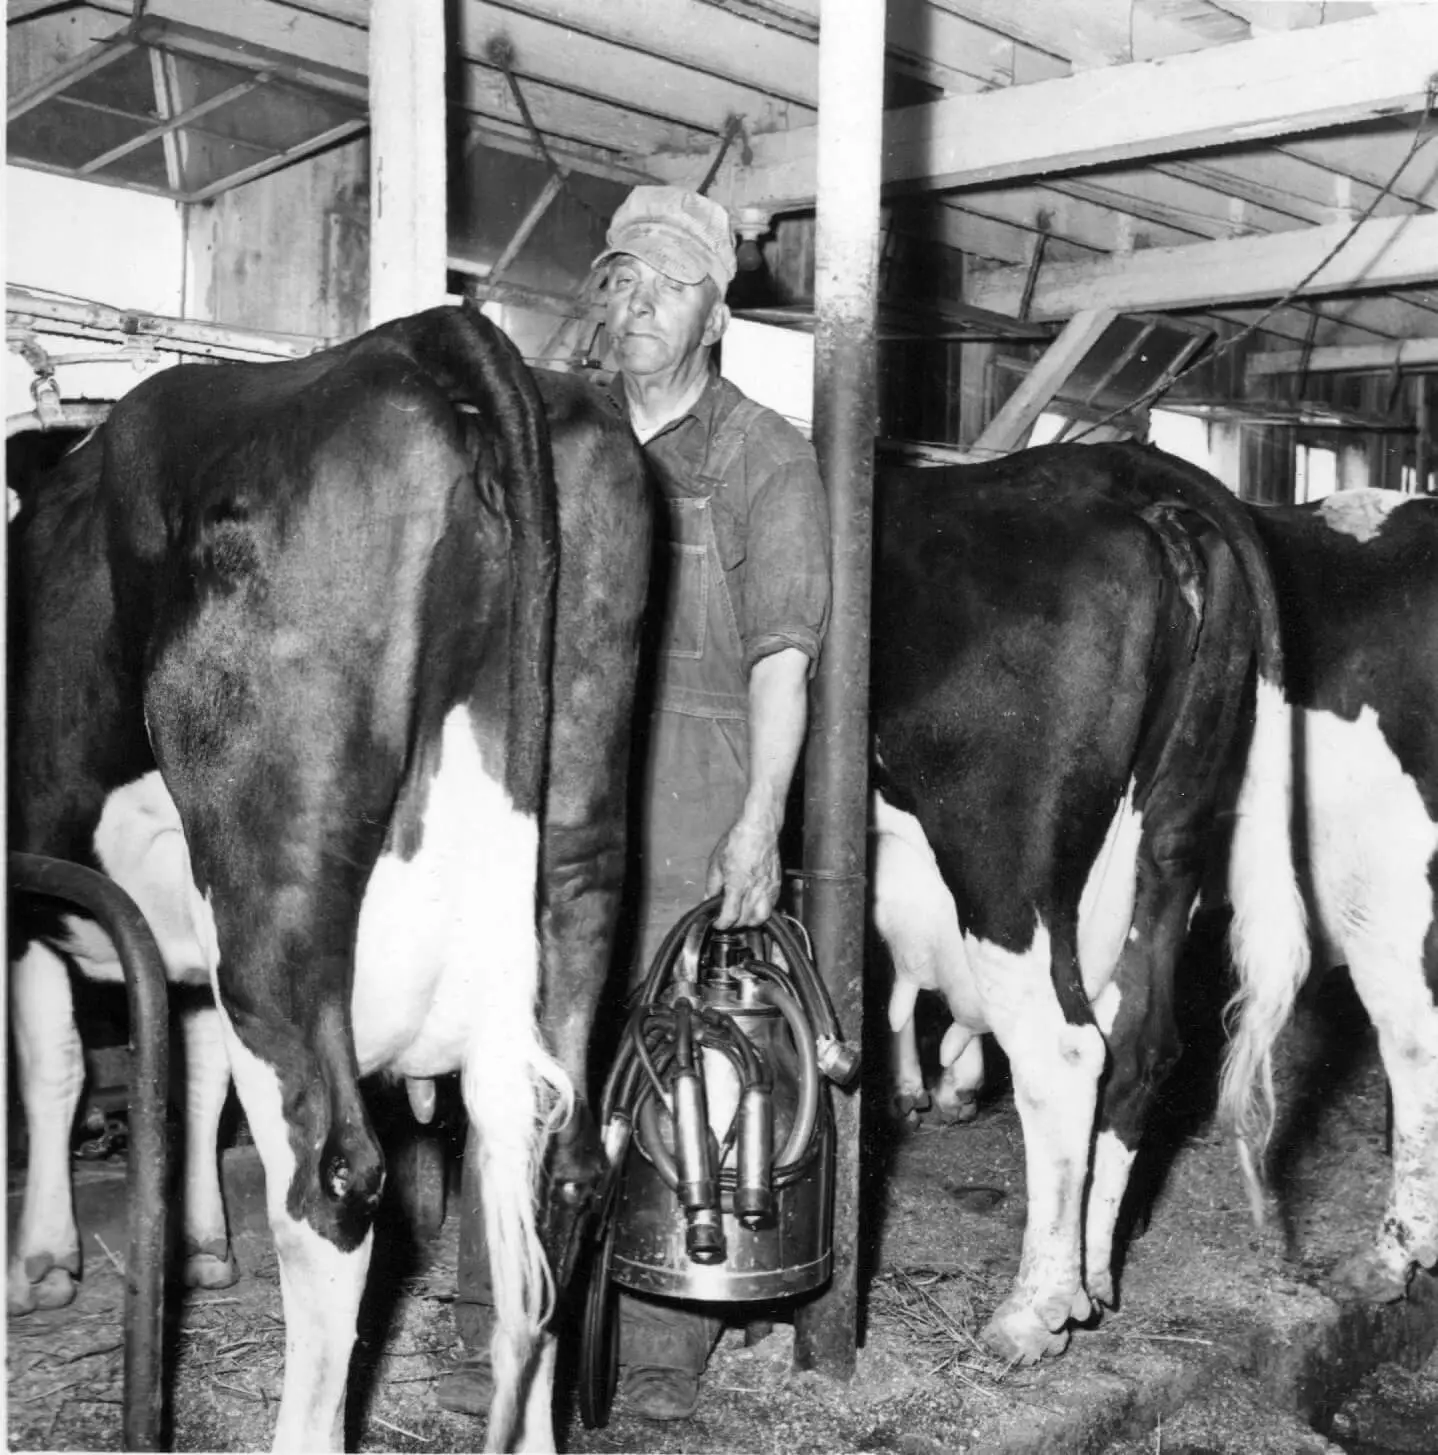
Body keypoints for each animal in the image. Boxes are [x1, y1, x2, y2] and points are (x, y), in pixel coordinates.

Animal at [8, 301, 649, 1449]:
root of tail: (424, 335)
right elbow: (192, 1068)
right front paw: (199, 1247)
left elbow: (56, 1061)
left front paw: (42, 1260)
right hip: (578, 848)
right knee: (556, 1169)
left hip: (278, 874)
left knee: (332, 1183)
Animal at [867, 439, 1304, 1361]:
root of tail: (1127, 470)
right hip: (1167, 840)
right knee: (1141, 1044)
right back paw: (1091, 1274)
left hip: (1003, 851)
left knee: (1063, 1049)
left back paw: (1032, 1310)